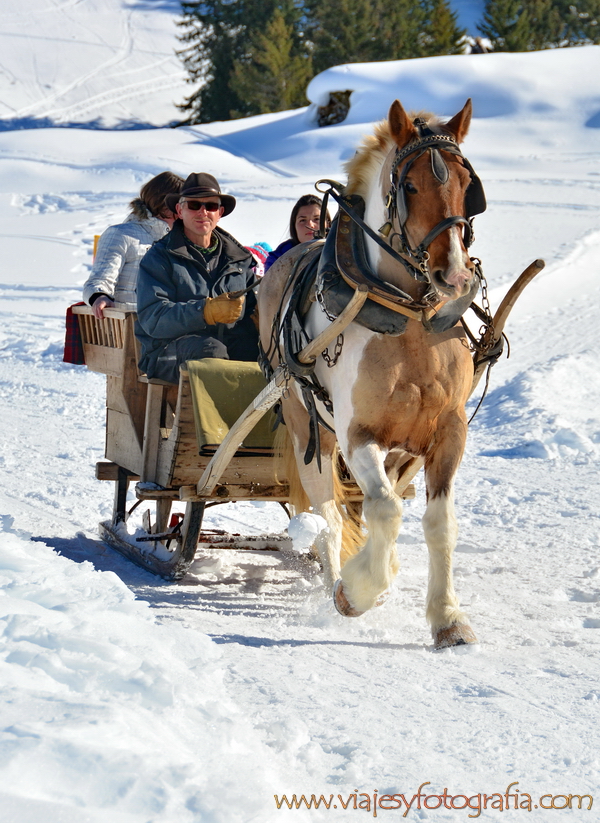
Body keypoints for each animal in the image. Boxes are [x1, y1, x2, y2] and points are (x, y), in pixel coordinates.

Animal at [256, 98, 482, 652]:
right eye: (411, 187)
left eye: (468, 184)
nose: (455, 275)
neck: (410, 320)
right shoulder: (357, 434)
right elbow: (384, 511)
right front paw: (357, 592)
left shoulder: (449, 431)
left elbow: (439, 522)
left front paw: (447, 618)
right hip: (306, 427)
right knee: (329, 515)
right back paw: (338, 578)